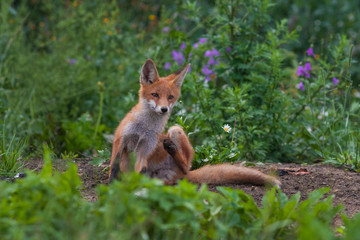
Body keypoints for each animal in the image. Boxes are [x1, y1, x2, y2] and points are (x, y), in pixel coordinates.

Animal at [109, 59, 282, 187]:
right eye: (155, 95)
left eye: (170, 97)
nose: (164, 109)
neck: (144, 128)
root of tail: (180, 176)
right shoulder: (121, 141)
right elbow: (113, 166)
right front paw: (113, 185)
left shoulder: (145, 150)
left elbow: (138, 169)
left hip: (175, 130)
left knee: (186, 166)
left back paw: (172, 149)